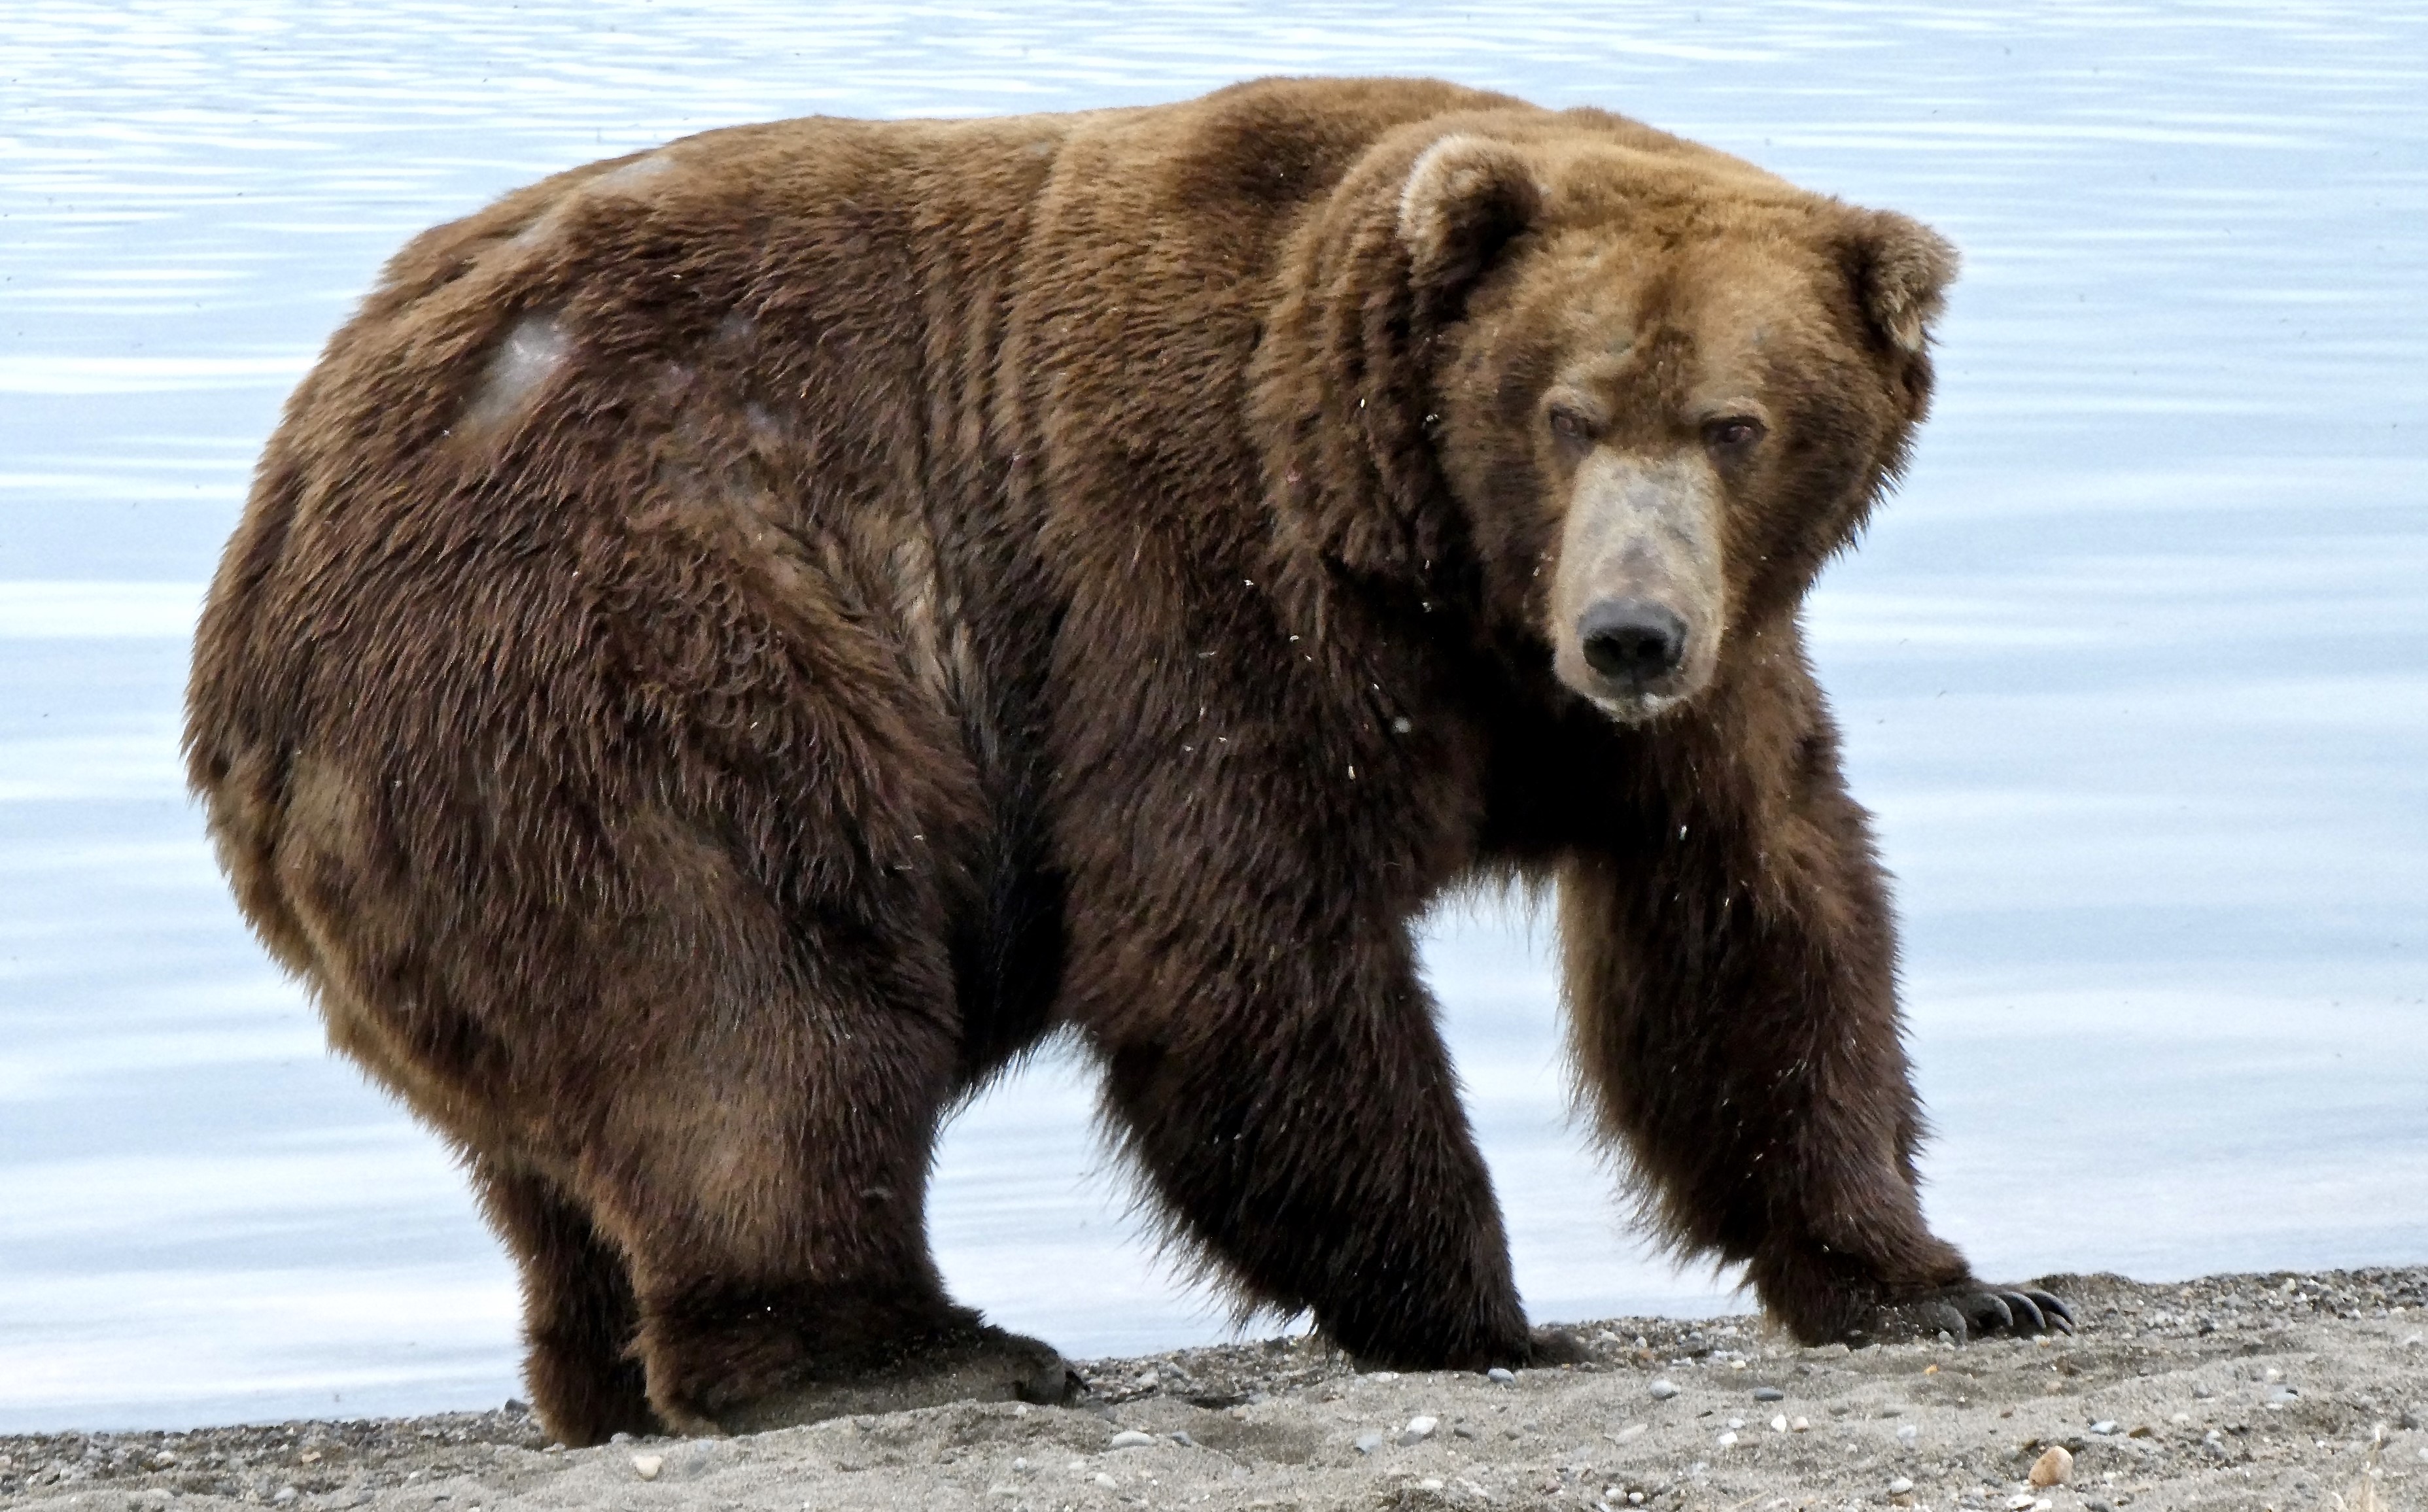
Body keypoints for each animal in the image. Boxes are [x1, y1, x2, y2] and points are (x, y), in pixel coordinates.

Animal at [185, 76, 2069, 1448]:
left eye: (1738, 422)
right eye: (1570, 410)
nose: (1628, 633)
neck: (1441, 572)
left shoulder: (1700, 678)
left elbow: (1753, 924)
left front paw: (1942, 1281)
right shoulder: (1196, 556)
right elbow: (1233, 937)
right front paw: (1484, 1315)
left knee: (569, 1137)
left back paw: (607, 1383)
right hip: (626, 632)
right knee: (757, 989)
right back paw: (914, 1351)